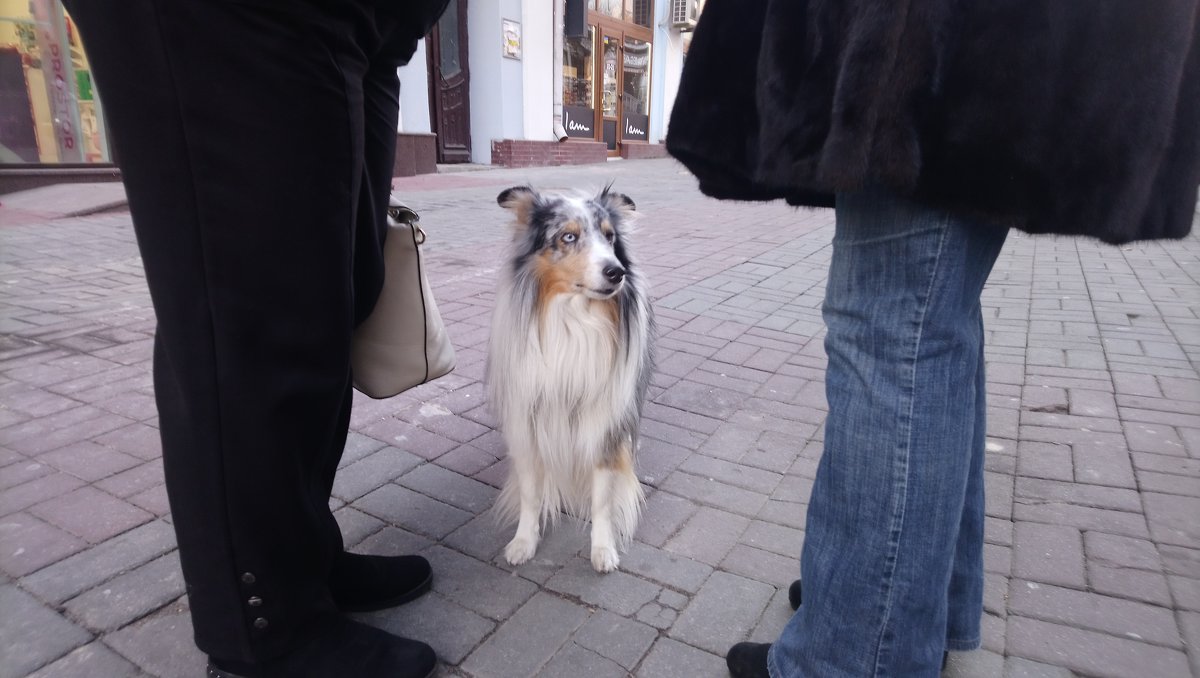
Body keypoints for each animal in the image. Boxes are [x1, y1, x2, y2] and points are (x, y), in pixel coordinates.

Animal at [487, 183, 657, 571]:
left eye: (610, 237)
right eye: (568, 236)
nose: (616, 272)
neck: (575, 319)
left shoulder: (603, 424)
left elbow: (602, 498)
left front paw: (603, 549)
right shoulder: (528, 420)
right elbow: (531, 493)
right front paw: (523, 541)